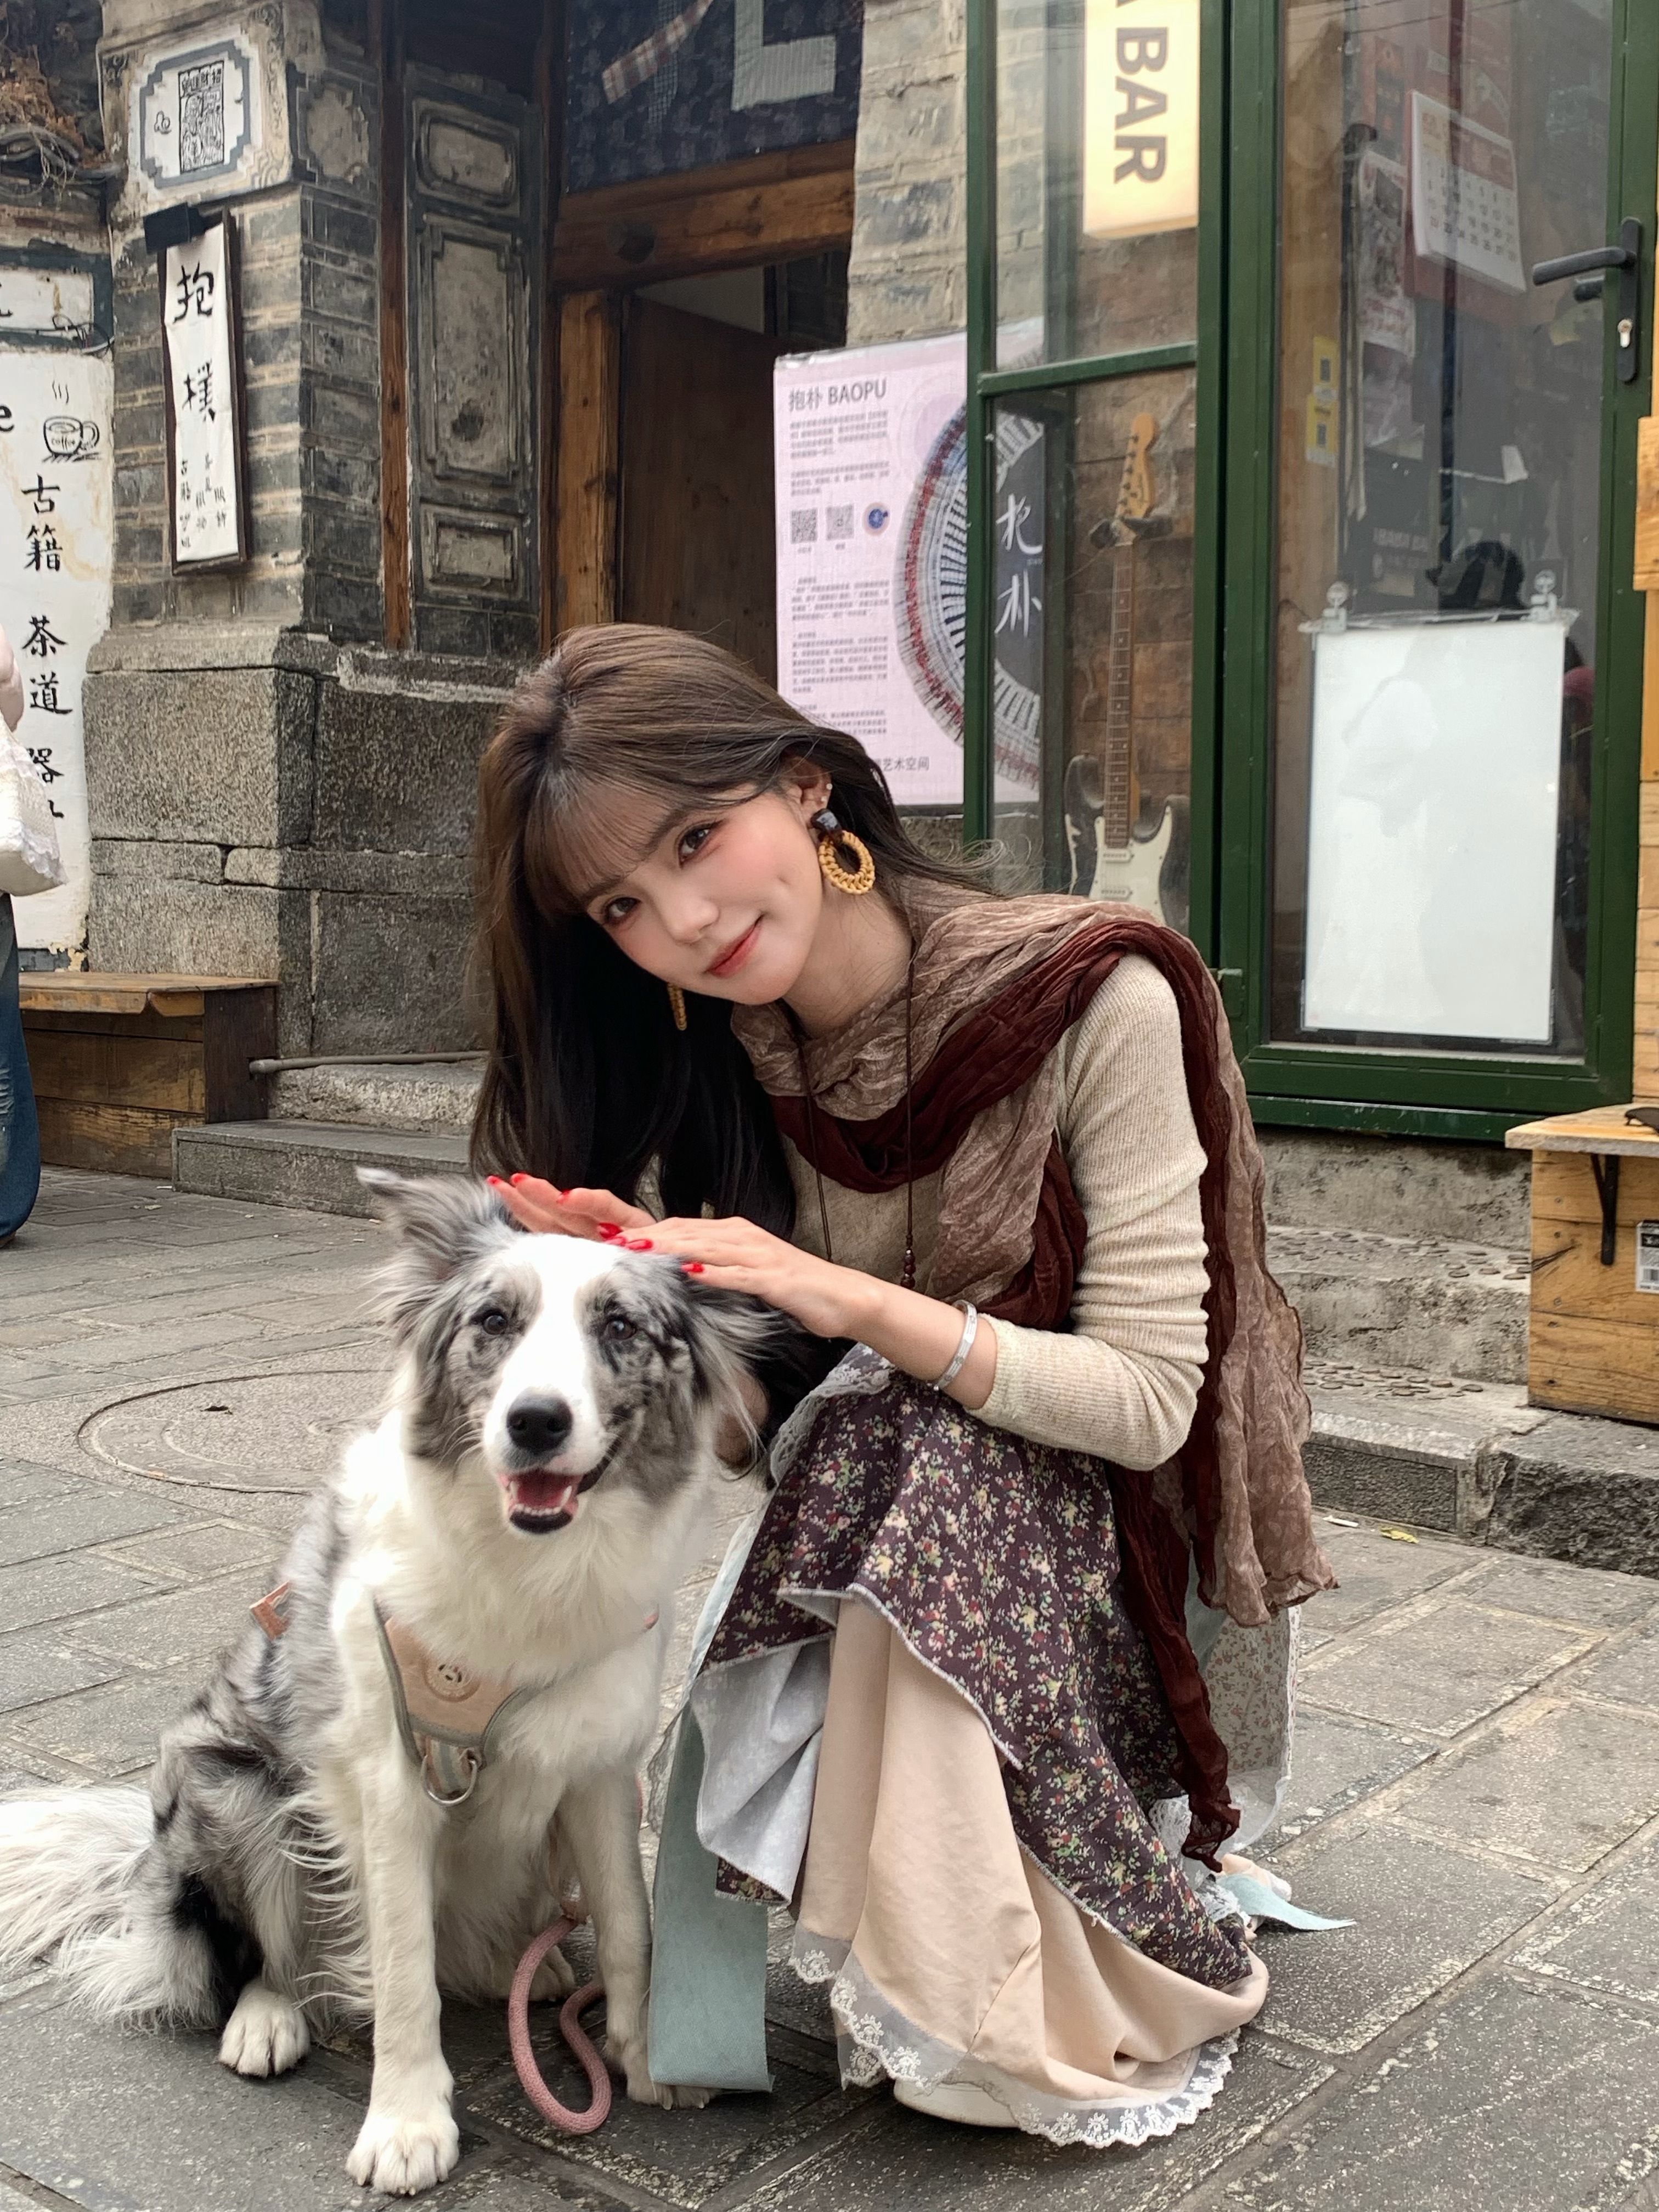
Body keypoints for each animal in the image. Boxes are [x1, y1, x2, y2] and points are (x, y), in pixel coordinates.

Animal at [0, 1172, 784, 2196]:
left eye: (618, 1326)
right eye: (494, 1319)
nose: (536, 1422)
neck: (524, 1572)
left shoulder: (601, 1770)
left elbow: (628, 1921)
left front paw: (649, 2054)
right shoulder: (391, 1779)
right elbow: (403, 1965)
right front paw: (407, 2122)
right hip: (238, 1786)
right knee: (271, 1953)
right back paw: (268, 2019)